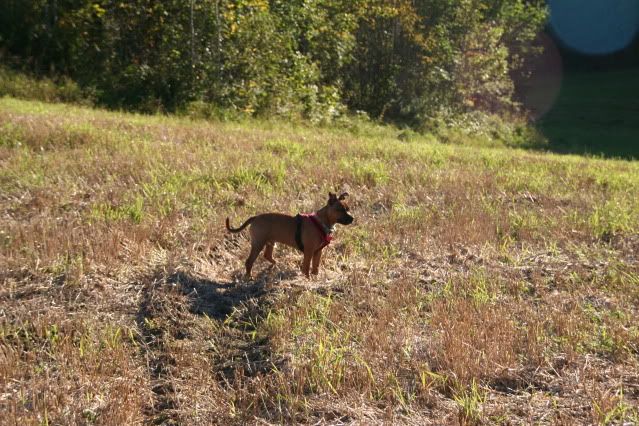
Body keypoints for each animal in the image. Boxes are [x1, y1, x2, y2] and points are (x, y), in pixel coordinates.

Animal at [226, 191, 356, 278]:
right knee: (249, 262)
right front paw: (307, 279)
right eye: (340, 210)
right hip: (258, 244)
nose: (352, 219)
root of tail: (255, 217)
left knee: (267, 256)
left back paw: (274, 265)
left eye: (348, 209)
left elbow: (315, 267)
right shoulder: (309, 252)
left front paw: (315, 278)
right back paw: (249, 277)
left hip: (270, 243)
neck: (321, 222)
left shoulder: (318, 252)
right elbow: (306, 267)